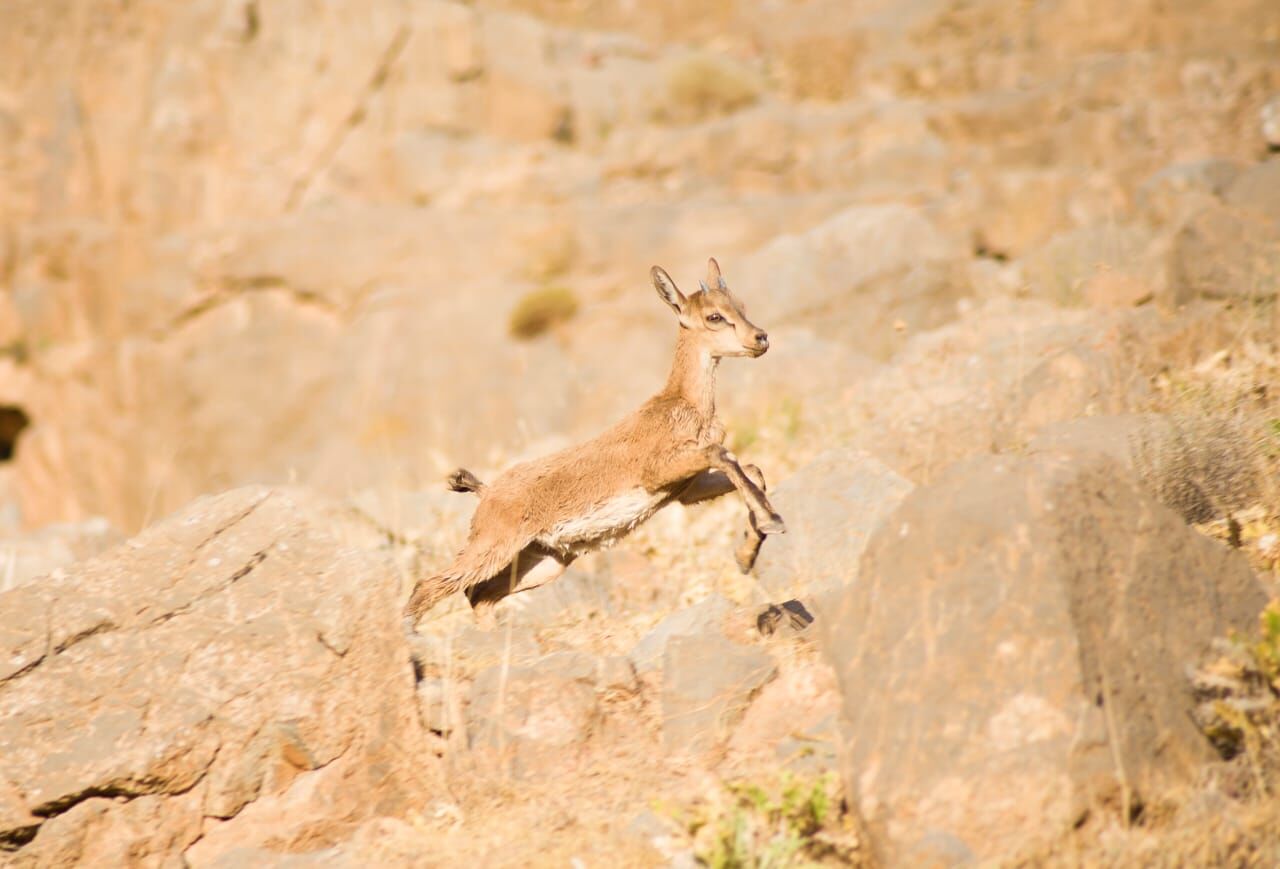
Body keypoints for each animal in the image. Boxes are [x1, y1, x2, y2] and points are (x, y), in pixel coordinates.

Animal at [404, 254, 783, 629]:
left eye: (740, 305)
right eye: (714, 316)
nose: (761, 338)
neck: (683, 405)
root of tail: (485, 494)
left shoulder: (685, 489)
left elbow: (752, 470)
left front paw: (747, 555)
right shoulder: (659, 473)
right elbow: (723, 454)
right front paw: (772, 522)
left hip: (546, 559)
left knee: (479, 596)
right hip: (493, 546)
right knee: (428, 588)